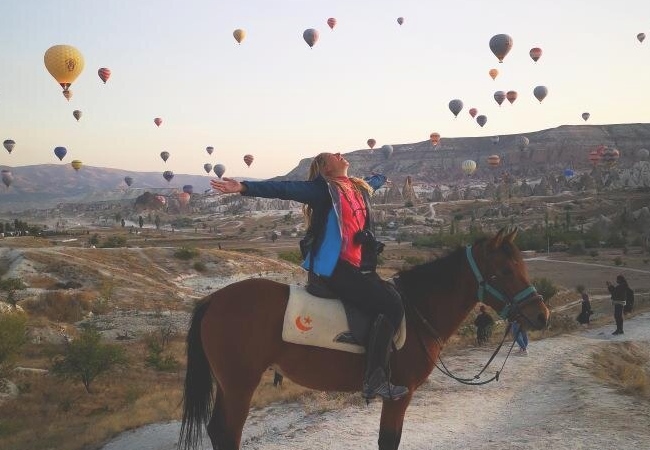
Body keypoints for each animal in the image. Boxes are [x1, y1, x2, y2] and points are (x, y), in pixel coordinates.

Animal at [177, 229, 548, 450]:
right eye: (506, 271)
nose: (541, 314)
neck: (417, 309)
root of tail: (214, 299)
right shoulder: (399, 395)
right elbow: (388, 441)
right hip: (240, 384)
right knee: (227, 433)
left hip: (229, 385)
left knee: (217, 430)